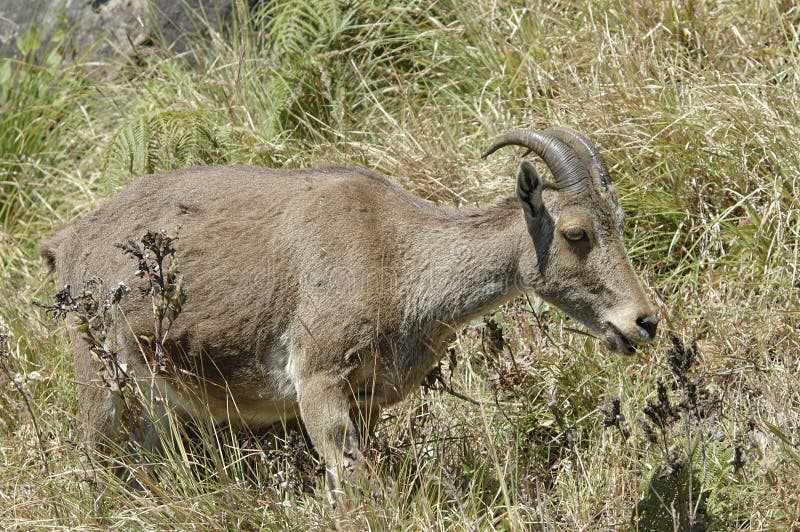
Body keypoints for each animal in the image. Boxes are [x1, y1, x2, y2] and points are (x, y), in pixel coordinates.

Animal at [40, 129, 656, 494]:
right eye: (575, 233)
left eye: (621, 222)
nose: (643, 322)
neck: (400, 256)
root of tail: (68, 242)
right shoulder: (318, 378)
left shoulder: (367, 398)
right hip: (101, 371)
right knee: (93, 453)